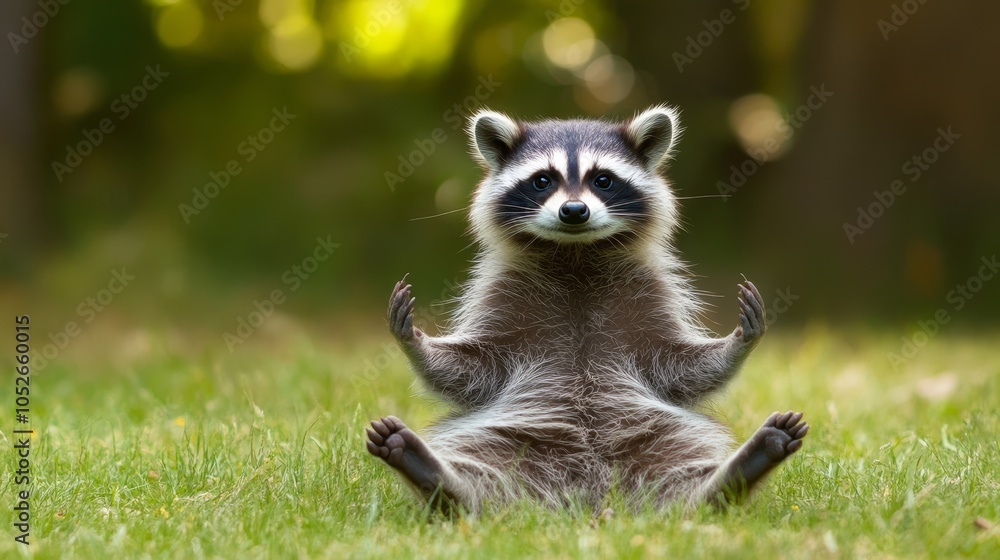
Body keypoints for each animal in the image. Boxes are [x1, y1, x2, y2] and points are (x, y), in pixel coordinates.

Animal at [366, 105, 808, 513]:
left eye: (603, 180)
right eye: (543, 180)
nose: (574, 211)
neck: (576, 256)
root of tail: (587, 499)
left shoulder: (650, 290)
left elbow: (681, 366)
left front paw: (737, 342)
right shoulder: (501, 291)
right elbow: (471, 370)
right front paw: (415, 342)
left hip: (657, 433)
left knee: (682, 473)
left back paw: (728, 480)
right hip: (508, 438)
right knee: (482, 475)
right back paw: (443, 484)